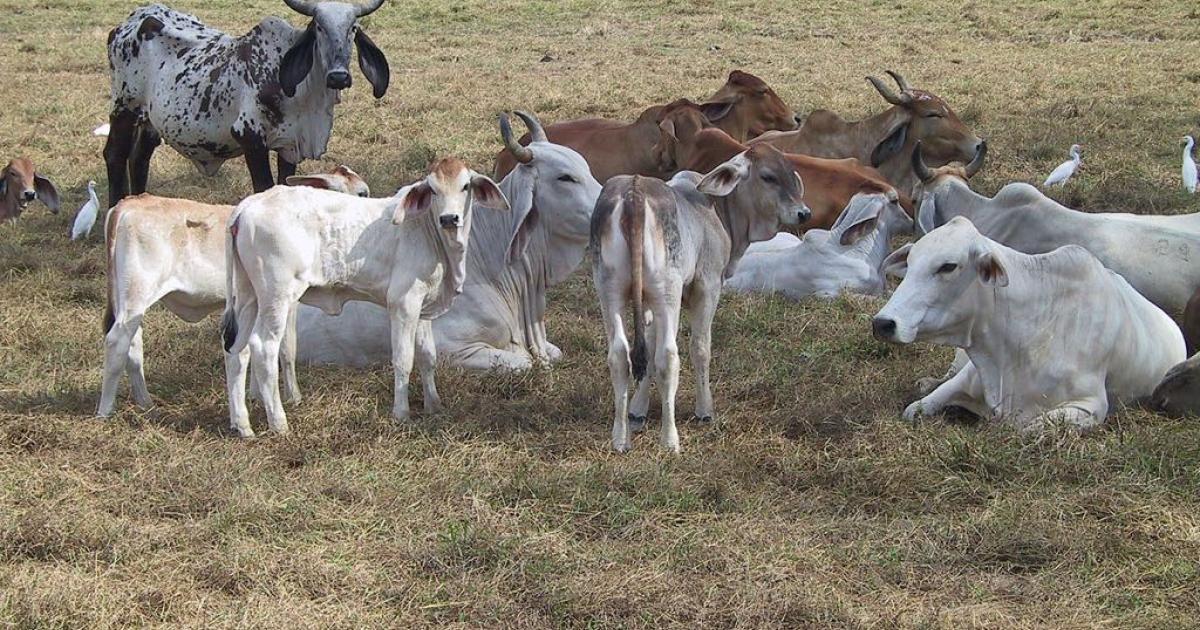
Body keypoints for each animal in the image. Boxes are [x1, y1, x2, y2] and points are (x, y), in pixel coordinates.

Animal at [96, 166, 369, 417]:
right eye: (362, 193)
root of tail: (131, 202)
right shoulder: (286, 302)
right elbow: (286, 348)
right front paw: (293, 397)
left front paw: (256, 396)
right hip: (137, 294)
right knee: (117, 341)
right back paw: (105, 410)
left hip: (129, 303)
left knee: (133, 346)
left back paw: (145, 402)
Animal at [104, 0, 389, 207]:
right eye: (318, 27)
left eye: (353, 28)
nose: (339, 76)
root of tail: (133, 19)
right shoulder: (250, 138)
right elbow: (264, 188)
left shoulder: (289, 146)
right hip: (124, 108)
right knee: (115, 154)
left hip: (149, 120)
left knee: (139, 157)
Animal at [221, 158, 507, 437]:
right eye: (433, 189)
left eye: (466, 186)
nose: (449, 218)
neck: (429, 232)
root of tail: (248, 206)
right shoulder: (403, 302)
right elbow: (403, 359)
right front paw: (401, 413)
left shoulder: (423, 306)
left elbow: (428, 355)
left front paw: (433, 404)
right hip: (277, 296)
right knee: (263, 348)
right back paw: (279, 423)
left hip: (249, 297)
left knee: (237, 350)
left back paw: (242, 425)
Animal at [591, 145, 810, 453]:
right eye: (768, 177)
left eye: (791, 172)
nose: (804, 213)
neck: (714, 208)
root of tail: (634, 191)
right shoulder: (707, 285)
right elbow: (700, 347)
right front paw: (704, 410)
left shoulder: (650, 305)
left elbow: (649, 348)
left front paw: (637, 410)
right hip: (667, 292)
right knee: (668, 356)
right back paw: (670, 440)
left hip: (609, 290)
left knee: (620, 355)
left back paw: (620, 439)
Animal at [872, 217, 1184, 432]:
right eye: (911, 262)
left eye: (948, 266)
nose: (883, 323)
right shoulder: (969, 375)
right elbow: (917, 407)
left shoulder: (1091, 406)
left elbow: (1029, 430)